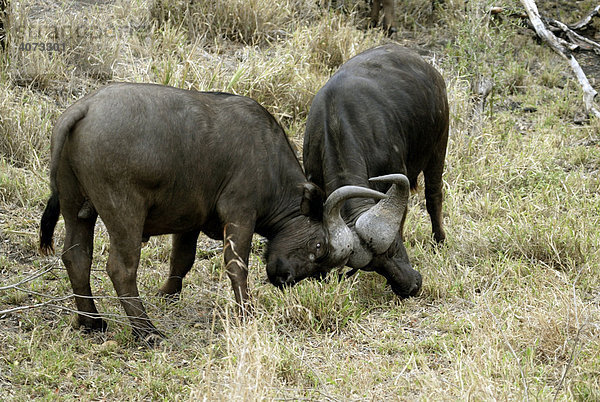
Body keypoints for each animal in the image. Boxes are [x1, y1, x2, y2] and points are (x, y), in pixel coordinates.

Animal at [38, 83, 384, 340]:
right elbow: (236, 266)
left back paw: (91, 321)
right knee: (121, 268)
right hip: (124, 212)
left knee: (76, 257)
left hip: (76, 210)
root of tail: (86, 107)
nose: (284, 278)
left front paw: (168, 293)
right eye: (319, 246)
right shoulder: (240, 214)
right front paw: (247, 312)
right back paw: (147, 331)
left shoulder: (189, 221)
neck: (270, 162)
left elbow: (182, 259)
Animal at [302, 44, 448, 296]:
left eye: (394, 246)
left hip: (439, 148)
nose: (410, 287)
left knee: (433, 195)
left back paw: (439, 240)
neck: (337, 124)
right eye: (373, 267)